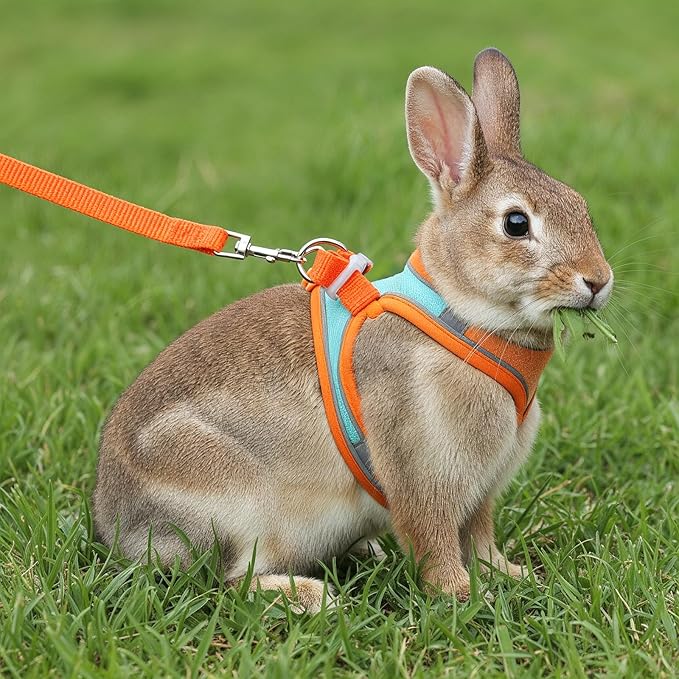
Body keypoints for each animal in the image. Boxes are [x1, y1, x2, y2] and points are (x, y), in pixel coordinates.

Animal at [93, 47, 613, 611]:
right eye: (516, 224)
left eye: (581, 204)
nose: (598, 280)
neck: (460, 316)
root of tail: (116, 521)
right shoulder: (420, 468)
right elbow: (434, 540)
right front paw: (460, 595)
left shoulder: (480, 491)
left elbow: (480, 538)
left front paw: (511, 576)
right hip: (232, 502)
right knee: (231, 580)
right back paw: (314, 597)